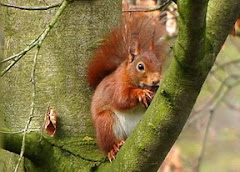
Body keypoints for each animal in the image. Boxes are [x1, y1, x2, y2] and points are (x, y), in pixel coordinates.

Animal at [86, 13, 167, 161]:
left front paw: (151, 94)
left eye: (159, 65)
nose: (156, 81)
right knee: (108, 141)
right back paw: (113, 148)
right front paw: (141, 93)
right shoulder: (116, 86)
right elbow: (121, 99)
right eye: (140, 66)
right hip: (106, 123)